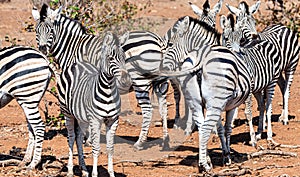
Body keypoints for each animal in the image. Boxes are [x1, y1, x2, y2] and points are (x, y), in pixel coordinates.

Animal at [159, 15, 253, 173]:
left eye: (170, 44)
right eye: (227, 38)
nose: (160, 67)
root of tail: (201, 57)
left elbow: (218, 128)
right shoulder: (230, 105)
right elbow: (227, 128)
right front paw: (227, 156)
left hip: (195, 101)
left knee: (202, 127)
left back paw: (205, 161)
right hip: (215, 102)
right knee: (206, 127)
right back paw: (204, 165)